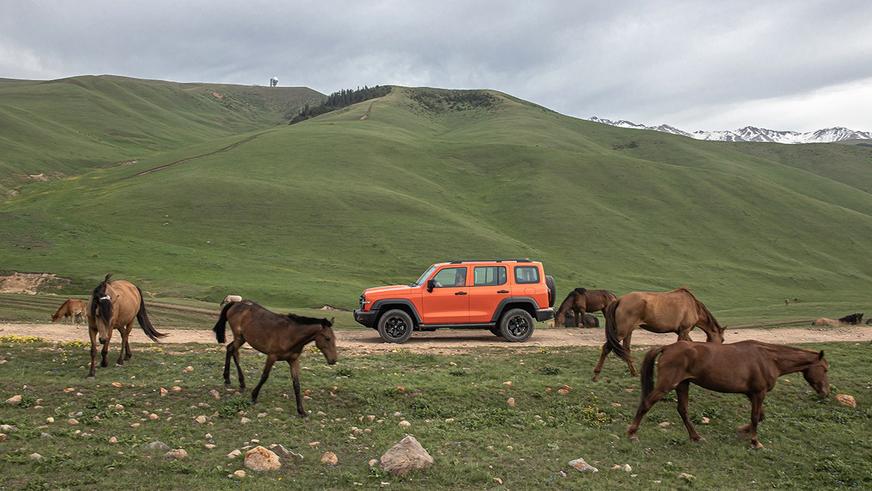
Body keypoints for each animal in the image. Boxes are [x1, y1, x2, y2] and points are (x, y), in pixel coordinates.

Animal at [592, 288, 728, 380]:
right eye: (722, 340)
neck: (693, 306)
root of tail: (620, 300)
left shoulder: (682, 331)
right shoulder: (684, 330)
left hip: (628, 332)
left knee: (626, 350)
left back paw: (634, 373)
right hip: (621, 332)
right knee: (607, 347)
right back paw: (596, 375)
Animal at [632, 342, 828, 450]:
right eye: (825, 369)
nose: (826, 392)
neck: (769, 359)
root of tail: (667, 347)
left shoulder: (752, 394)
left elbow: (760, 416)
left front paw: (743, 430)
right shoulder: (759, 393)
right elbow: (756, 417)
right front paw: (755, 442)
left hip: (682, 384)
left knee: (683, 410)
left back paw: (696, 437)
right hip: (668, 385)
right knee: (647, 403)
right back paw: (632, 433)